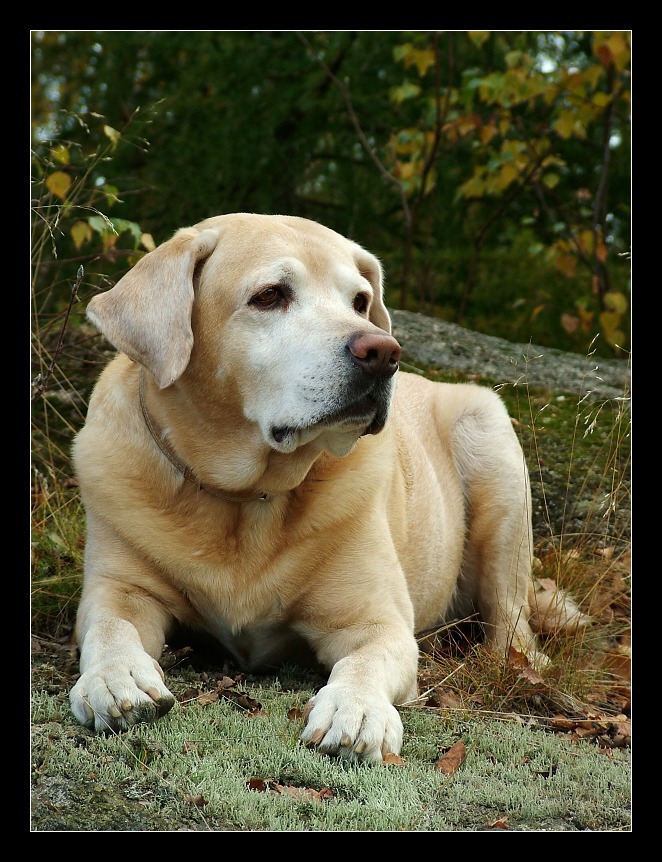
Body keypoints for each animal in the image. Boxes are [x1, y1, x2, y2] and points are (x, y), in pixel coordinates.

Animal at [69, 213, 586, 762]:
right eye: (269, 295)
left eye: (359, 301)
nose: (383, 352)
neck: (248, 498)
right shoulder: (118, 587)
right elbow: (110, 626)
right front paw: (116, 678)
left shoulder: (376, 621)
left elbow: (365, 661)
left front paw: (355, 710)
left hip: (493, 448)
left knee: (511, 619)